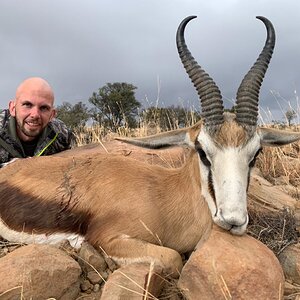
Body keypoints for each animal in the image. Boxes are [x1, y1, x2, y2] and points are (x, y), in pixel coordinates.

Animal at [0, 15, 298, 276]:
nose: (233, 219)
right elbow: (174, 258)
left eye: (255, 153)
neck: (162, 197)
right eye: (202, 151)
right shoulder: (111, 238)